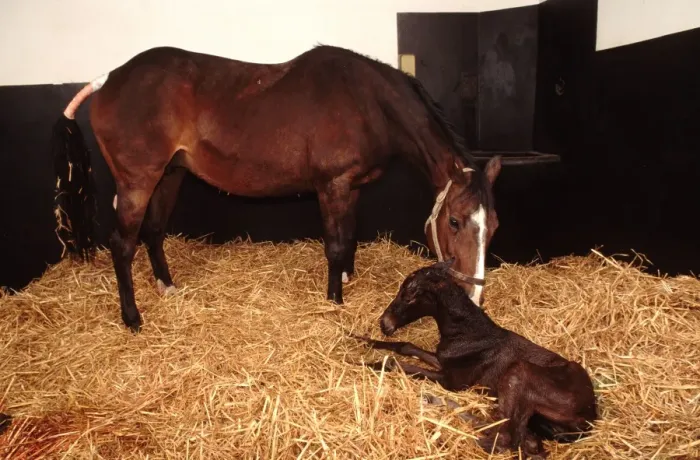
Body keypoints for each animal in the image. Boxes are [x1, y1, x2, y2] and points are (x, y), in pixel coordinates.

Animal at [51, 45, 502, 332]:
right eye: (455, 221)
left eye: (494, 225)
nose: (474, 298)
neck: (367, 102)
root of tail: (107, 80)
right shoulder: (332, 186)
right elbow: (335, 244)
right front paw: (334, 300)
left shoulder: (351, 189)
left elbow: (350, 235)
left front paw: (346, 278)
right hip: (138, 183)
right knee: (122, 245)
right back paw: (132, 318)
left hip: (169, 176)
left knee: (154, 231)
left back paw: (167, 287)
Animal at [353, 260, 597, 458]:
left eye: (410, 295)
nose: (384, 324)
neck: (469, 333)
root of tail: (589, 418)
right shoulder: (443, 362)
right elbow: (406, 346)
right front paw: (359, 338)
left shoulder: (452, 381)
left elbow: (398, 363)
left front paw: (364, 362)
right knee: (523, 439)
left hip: (519, 372)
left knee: (507, 439)